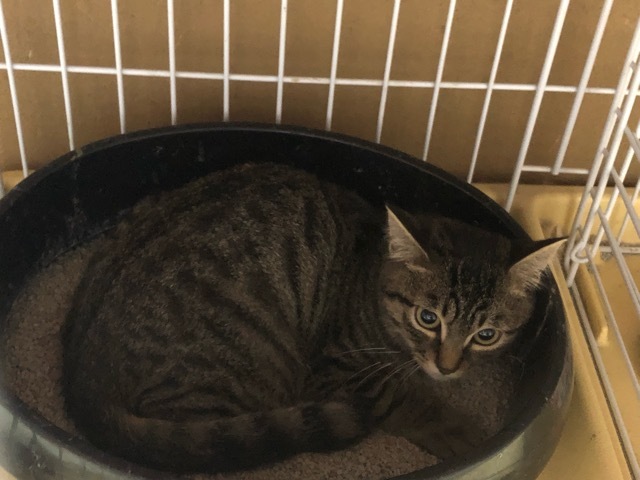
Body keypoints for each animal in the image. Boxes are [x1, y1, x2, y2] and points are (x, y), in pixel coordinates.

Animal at [61, 162, 565, 473]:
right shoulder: (340, 372)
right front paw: (464, 432)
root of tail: (84, 382)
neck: (367, 273)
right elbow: (407, 401)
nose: (447, 366)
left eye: (486, 334)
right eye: (427, 317)